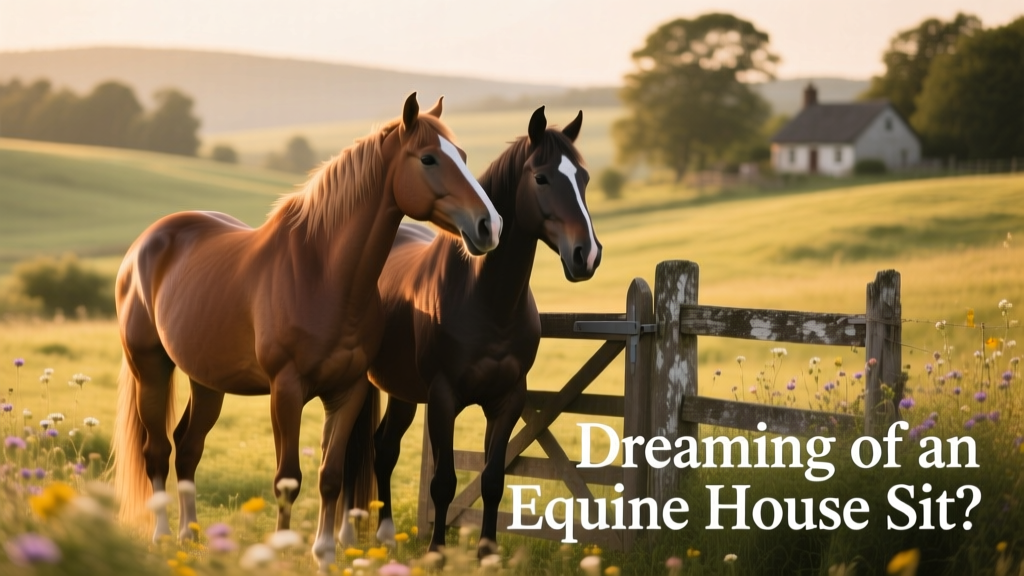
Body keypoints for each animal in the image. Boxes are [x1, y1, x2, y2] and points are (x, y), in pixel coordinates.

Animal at [112, 93, 502, 570]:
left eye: (461, 155)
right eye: (428, 158)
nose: (490, 225)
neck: (324, 275)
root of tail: (146, 243)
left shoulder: (349, 390)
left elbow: (331, 476)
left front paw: (326, 554)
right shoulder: (287, 389)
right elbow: (288, 479)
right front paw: (281, 552)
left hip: (207, 381)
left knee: (188, 449)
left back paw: (191, 537)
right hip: (150, 368)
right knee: (157, 452)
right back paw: (163, 537)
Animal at [341, 106, 601, 557]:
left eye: (583, 178)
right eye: (541, 178)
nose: (587, 255)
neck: (486, 302)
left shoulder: (508, 399)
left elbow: (493, 480)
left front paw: (487, 553)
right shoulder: (443, 399)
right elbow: (444, 482)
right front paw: (436, 553)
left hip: (402, 391)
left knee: (384, 449)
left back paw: (386, 535)